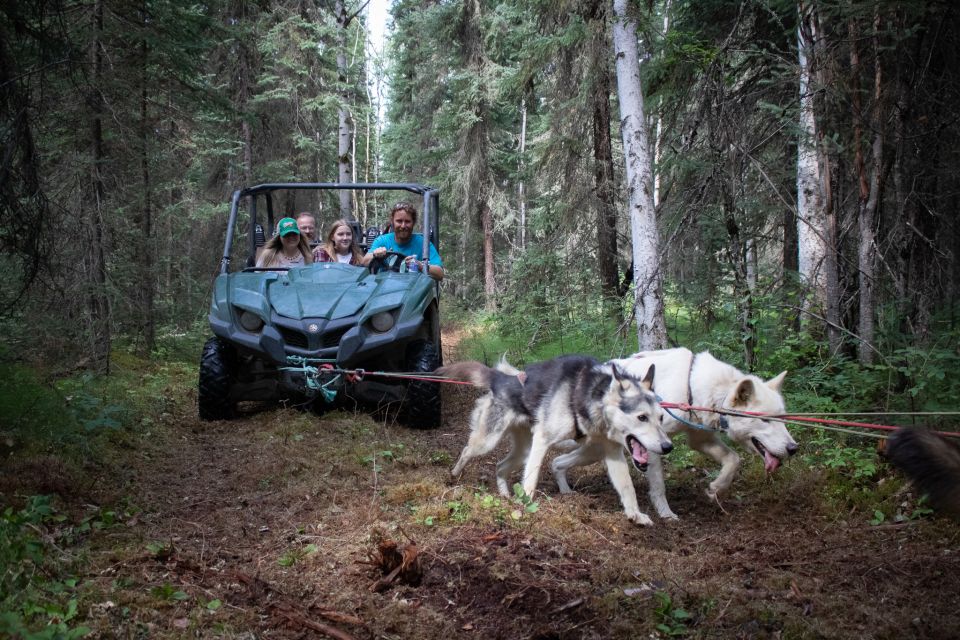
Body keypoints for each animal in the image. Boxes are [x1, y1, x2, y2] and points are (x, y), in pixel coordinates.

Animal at [438, 356, 672, 524]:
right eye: (642, 417)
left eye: (661, 417)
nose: (668, 446)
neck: (591, 396)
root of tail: (501, 378)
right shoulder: (542, 440)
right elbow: (531, 479)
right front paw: (525, 506)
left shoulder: (613, 453)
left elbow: (627, 487)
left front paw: (635, 514)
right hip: (489, 441)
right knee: (467, 450)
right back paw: (454, 475)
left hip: (523, 450)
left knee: (500, 466)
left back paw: (504, 496)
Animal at [548, 350, 796, 520]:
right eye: (766, 419)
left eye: (783, 418)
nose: (794, 448)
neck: (690, 386)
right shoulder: (654, 447)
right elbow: (659, 486)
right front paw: (666, 514)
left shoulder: (700, 440)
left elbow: (733, 460)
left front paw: (715, 489)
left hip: (594, 451)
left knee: (557, 462)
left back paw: (566, 492)